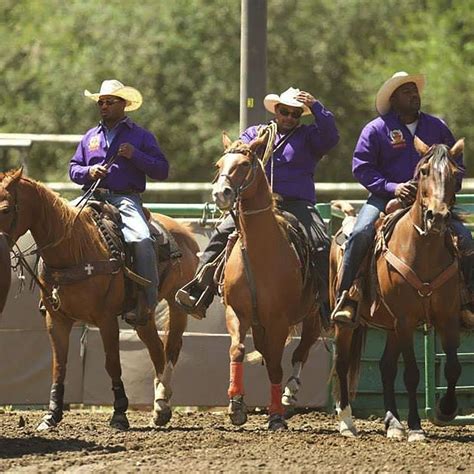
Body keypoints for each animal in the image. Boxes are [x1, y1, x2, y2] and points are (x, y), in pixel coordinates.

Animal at [0, 168, 198, 432]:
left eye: (5, 209)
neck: (73, 249)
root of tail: (186, 232)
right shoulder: (56, 320)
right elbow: (59, 366)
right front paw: (51, 415)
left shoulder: (106, 319)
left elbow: (112, 363)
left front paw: (120, 414)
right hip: (143, 318)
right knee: (157, 349)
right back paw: (158, 409)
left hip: (177, 304)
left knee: (172, 348)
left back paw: (163, 404)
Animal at [213, 132, 324, 430]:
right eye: (219, 165)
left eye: (244, 164)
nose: (221, 193)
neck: (258, 252)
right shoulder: (237, 312)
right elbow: (237, 349)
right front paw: (235, 405)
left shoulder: (279, 320)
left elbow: (276, 365)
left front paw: (275, 415)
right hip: (259, 324)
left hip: (312, 317)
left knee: (300, 353)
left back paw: (288, 396)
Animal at [332, 137, 464, 440]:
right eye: (424, 171)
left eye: (455, 174)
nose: (437, 217)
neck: (422, 251)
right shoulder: (405, 319)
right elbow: (412, 374)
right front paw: (415, 427)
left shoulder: (446, 317)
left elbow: (453, 367)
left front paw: (446, 409)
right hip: (347, 323)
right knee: (342, 362)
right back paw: (347, 422)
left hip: (390, 326)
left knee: (386, 367)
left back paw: (392, 422)